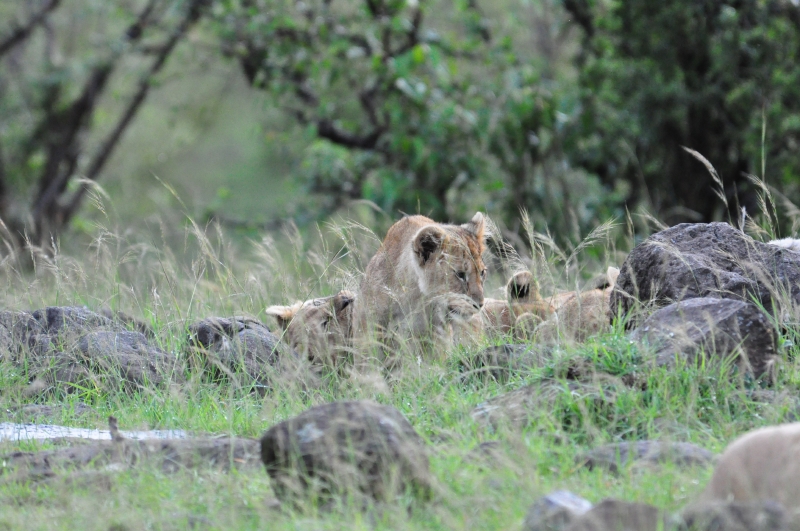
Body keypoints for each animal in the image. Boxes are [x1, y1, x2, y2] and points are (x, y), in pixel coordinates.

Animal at [354, 213, 488, 355]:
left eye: (482, 272)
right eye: (460, 274)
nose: (480, 305)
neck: (416, 299)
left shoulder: (437, 334)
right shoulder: (365, 326)